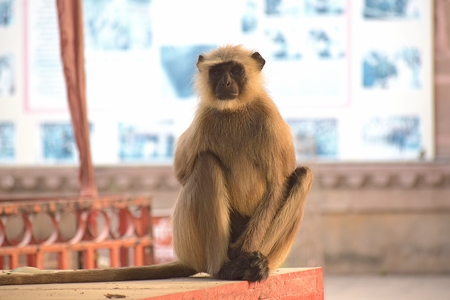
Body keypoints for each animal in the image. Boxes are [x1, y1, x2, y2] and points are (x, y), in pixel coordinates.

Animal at [0, 44, 312, 286]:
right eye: (216, 72)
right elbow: (182, 172)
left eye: (235, 70)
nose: (224, 83)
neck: (235, 112)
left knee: (302, 175)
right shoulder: (205, 118)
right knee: (206, 164)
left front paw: (247, 257)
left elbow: (276, 186)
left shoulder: (270, 120)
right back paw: (224, 268)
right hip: (192, 242)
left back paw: (253, 266)